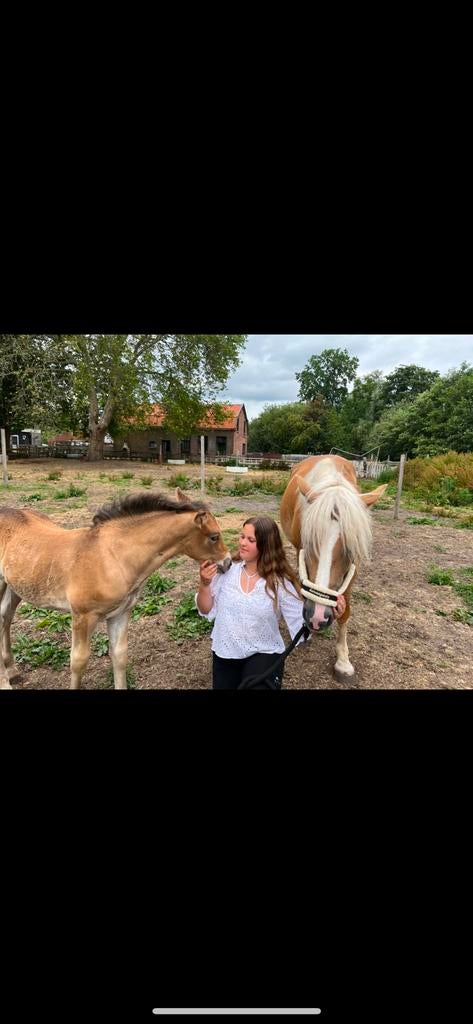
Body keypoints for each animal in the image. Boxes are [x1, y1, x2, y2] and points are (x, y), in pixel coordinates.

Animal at [0, 488, 231, 690]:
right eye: (214, 536)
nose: (228, 562)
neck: (112, 556)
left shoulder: (120, 613)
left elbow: (119, 656)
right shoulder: (82, 616)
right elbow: (78, 661)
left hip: (15, 588)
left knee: (5, 618)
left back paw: (11, 671)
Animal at [280, 455, 387, 685]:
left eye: (350, 549)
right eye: (310, 541)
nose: (318, 617)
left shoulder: (352, 572)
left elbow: (345, 612)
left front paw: (343, 661)